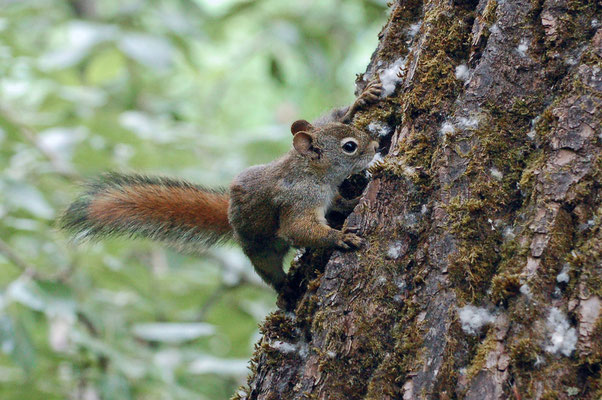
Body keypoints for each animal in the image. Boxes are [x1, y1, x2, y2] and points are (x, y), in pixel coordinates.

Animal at [59, 79, 380, 296]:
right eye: (349, 147)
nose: (376, 146)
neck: (313, 173)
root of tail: (229, 214)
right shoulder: (297, 199)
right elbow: (298, 228)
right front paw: (340, 237)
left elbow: (336, 198)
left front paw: (361, 100)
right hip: (259, 246)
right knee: (267, 267)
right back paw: (284, 289)